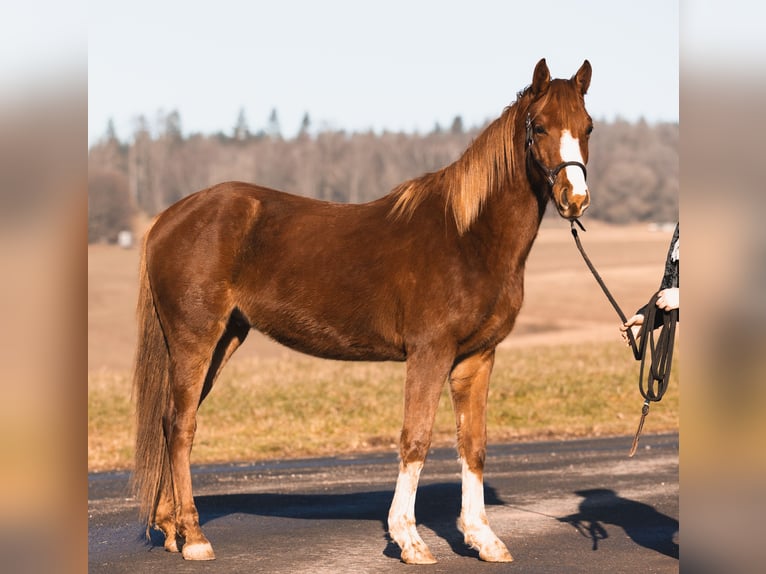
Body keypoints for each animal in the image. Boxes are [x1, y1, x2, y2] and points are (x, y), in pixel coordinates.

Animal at [134, 59, 592, 568]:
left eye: (587, 127)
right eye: (540, 126)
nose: (575, 199)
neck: (468, 236)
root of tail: (167, 219)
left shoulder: (477, 357)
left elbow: (473, 445)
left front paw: (483, 538)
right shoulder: (430, 352)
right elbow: (416, 438)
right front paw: (409, 539)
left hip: (224, 339)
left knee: (169, 420)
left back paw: (171, 529)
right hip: (195, 339)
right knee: (181, 426)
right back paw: (194, 537)